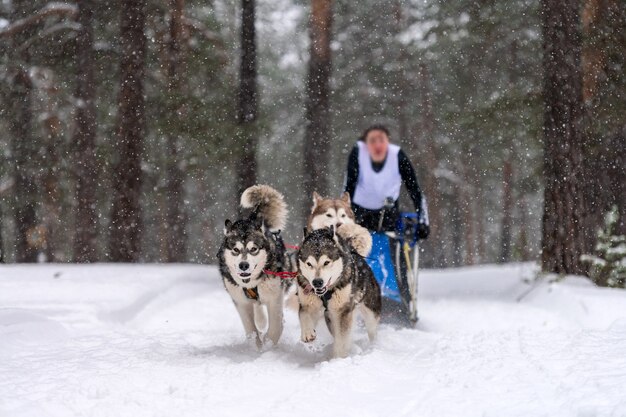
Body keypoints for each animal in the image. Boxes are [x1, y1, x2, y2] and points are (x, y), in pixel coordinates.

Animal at [294, 224, 378, 358]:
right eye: (309, 264)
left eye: (326, 262)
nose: (317, 282)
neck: (325, 293)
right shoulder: (307, 302)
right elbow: (304, 315)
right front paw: (307, 333)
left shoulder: (342, 311)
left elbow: (342, 339)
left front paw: (338, 358)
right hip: (329, 317)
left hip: (370, 312)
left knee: (372, 329)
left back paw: (373, 346)